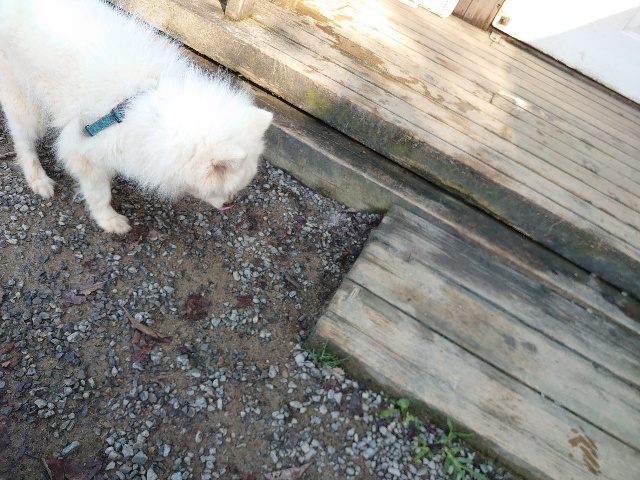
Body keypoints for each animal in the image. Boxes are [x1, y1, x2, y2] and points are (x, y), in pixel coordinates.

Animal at [0, 0, 272, 234]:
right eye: (225, 189)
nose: (229, 204)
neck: (149, 107)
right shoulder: (83, 148)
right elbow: (99, 194)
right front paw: (109, 221)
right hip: (25, 101)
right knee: (23, 141)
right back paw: (38, 180)